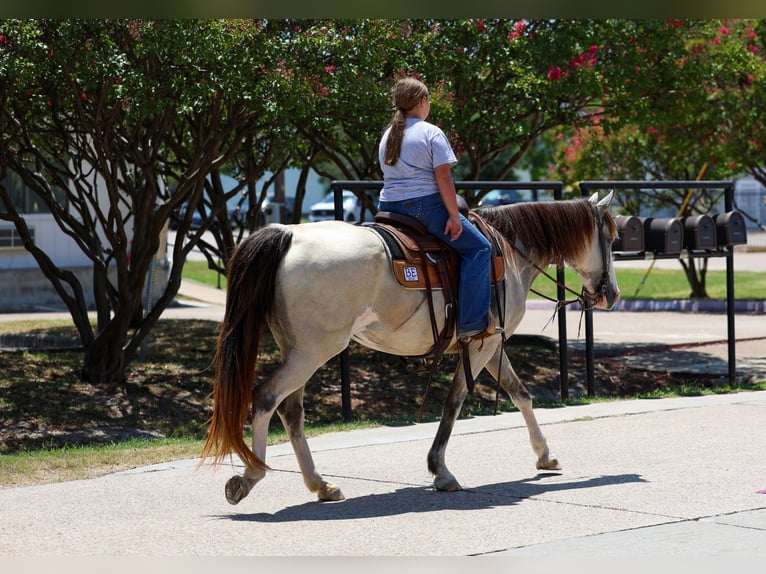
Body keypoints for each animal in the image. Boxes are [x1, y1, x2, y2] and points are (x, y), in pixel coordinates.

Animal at [200, 191, 620, 504]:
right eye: (611, 239)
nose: (612, 294)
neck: (509, 251)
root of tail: (287, 234)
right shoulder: (481, 344)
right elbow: (454, 403)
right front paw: (441, 471)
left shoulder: (491, 343)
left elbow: (521, 394)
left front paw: (544, 455)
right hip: (311, 353)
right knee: (267, 398)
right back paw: (251, 476)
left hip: (298, 351)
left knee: (291, 411)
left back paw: (321, 485)